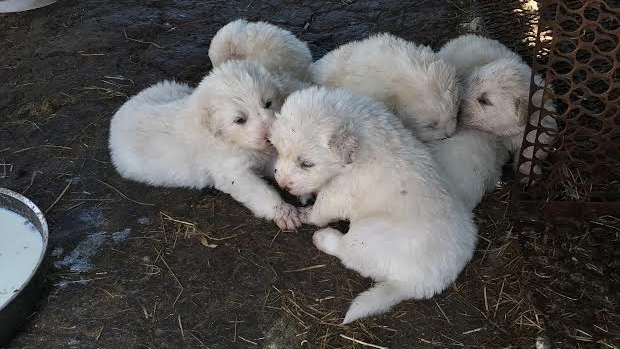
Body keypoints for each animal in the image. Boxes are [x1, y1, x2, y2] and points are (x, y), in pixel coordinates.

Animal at [112, 59, 308, 231]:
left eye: (268, 103)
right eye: (240, 120)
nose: (270, 138)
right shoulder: (233, 173)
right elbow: (261, 191)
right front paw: (284, 211)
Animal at [268, 86, 478, 324]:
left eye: (307, 164)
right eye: (278, 150)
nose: (282, 184)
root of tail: (421, 284)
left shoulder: (341, 191)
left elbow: (322, 209)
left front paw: (305, 213)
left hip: (367, 234)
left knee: (347, 253)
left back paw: (324, 238)